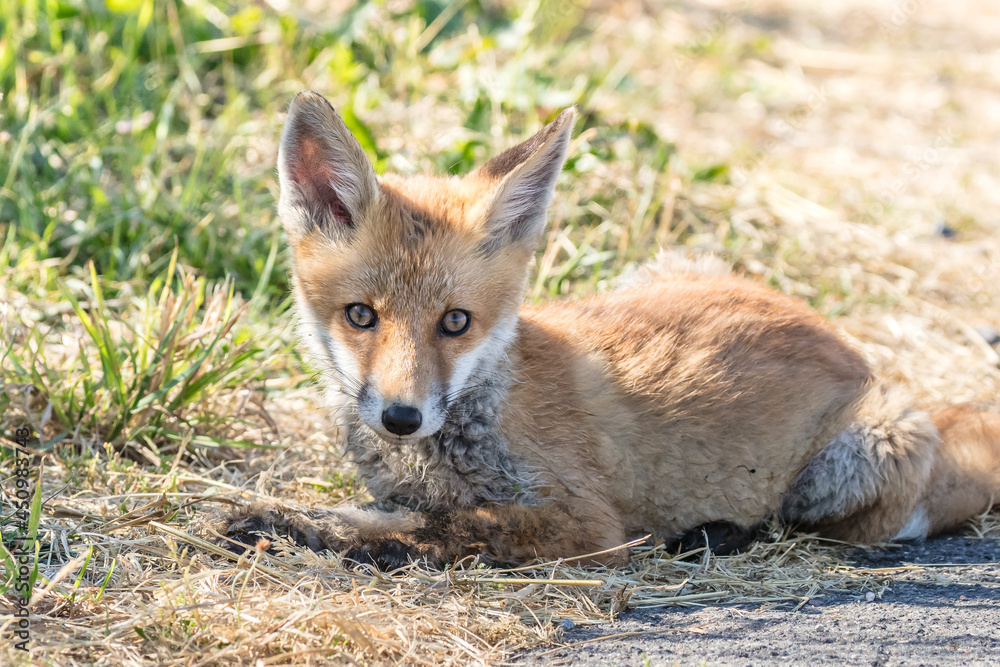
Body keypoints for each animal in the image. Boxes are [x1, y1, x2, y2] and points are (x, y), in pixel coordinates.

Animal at [220, 90, 1000, 569]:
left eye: (455, 322)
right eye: (361, 315)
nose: (402, 417)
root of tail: (847, 344)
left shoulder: (583, 525)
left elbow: (435, 526)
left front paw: (293, 524)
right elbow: (404, 512)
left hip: (864, 455)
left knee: (818, 524)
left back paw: (717, 532)